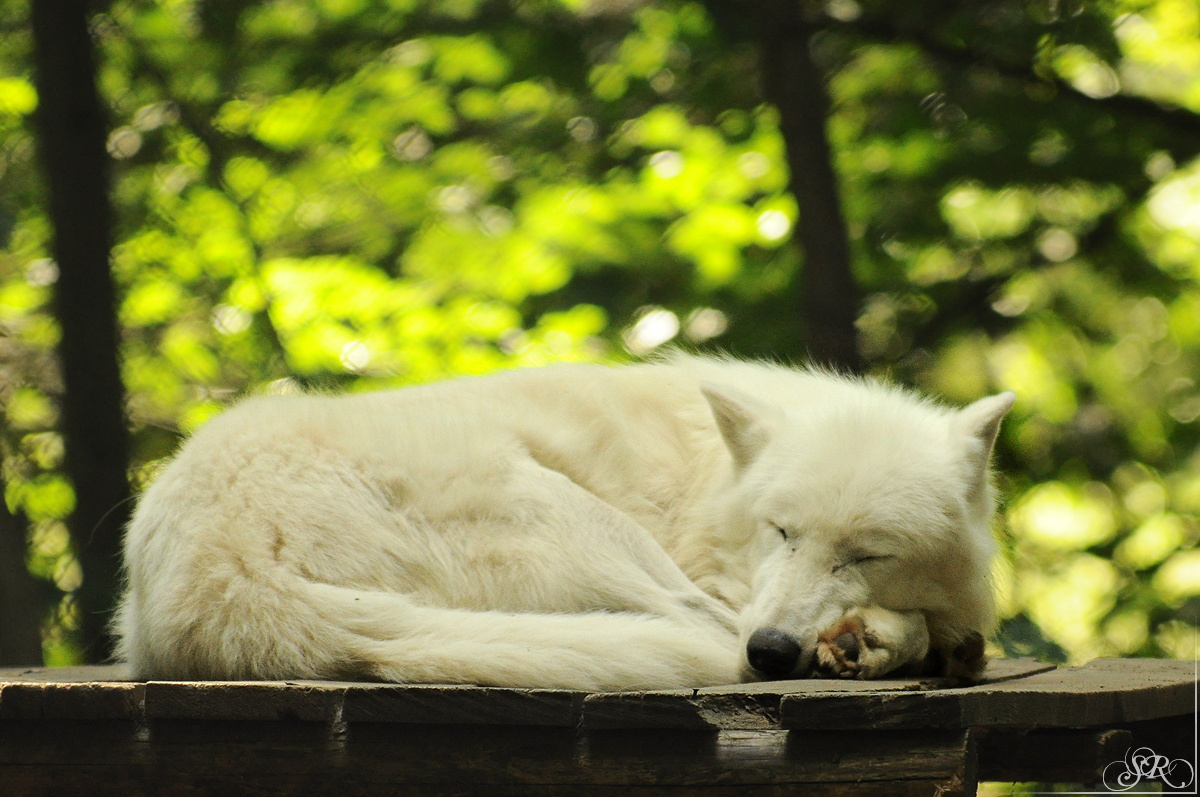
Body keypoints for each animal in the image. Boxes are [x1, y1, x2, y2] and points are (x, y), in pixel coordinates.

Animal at [115, 354, 1013, 691]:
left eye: (865, 553)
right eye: (781, 531)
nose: (772, 650)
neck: (709, 486)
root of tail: (221, 578)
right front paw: (887, 639)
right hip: (581, 521)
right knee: (697, 627)